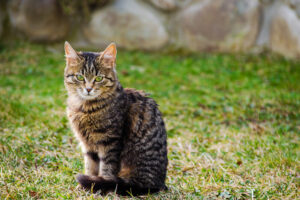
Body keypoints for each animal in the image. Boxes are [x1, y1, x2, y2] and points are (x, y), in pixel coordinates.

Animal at [63, 41, 168, 195]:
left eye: (99, 78)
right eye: (80, 77)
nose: (88, 89)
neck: (85, 108)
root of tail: (159, 183)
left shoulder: (110, 142)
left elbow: (106, 169)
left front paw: (99, 186)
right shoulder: (87, 144)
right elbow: (90, 167)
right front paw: (87, 186)